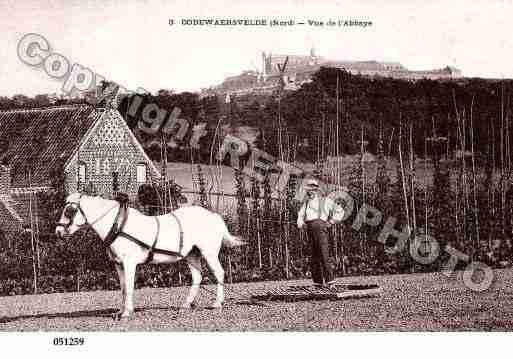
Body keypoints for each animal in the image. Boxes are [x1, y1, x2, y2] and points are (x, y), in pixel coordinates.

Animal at [55, 194, 245, 320]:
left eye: (69, 210)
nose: (58, 231)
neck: (118, 226)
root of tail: (214, 216)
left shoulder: (129, 263)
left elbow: (129, 287)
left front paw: (126, 313)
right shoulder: (118, 265)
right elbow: (123, 288)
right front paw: (121, 311)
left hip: (209, 253)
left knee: (219, 274)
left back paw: (217, 303)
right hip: (192, 255)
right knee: (197, 277)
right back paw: (186, 305)